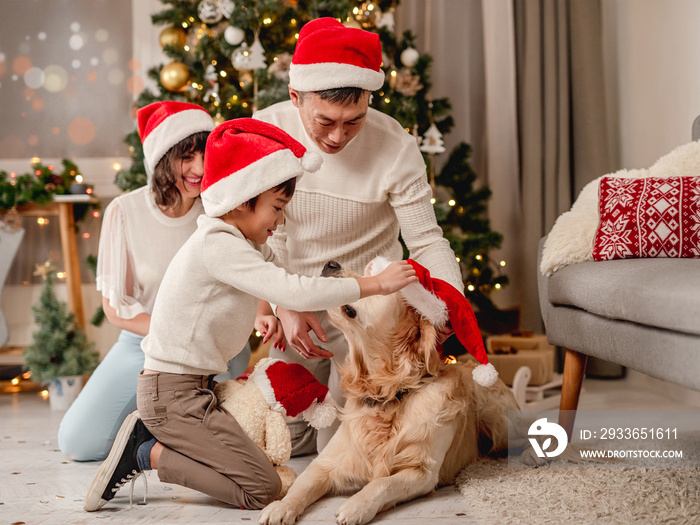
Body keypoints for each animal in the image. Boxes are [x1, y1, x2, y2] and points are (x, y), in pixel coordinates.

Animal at [258, 260, 520, 520]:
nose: (330, 264)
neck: (387, 393)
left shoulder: (422, 471)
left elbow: (381, 483)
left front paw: (356, 506)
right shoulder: (325, 463)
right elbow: (301, 485)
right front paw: (280, 507)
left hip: (497, 420)